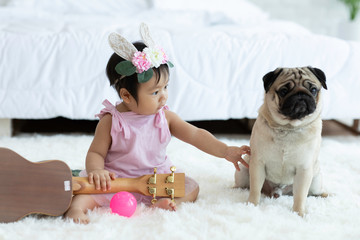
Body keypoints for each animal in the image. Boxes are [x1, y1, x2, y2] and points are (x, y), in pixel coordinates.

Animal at [235, 66, 328, 217]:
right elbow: (255, 189)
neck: (288, 128)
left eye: (313, 90)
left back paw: (326, 195)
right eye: (284, 91)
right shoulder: (258, 164)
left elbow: (300, 195)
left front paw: (299, 213)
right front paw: (251, 205)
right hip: (243, 171)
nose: (301, 95)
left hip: (315, 179)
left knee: (314, 192)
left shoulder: (304, 170)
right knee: (244, 186)